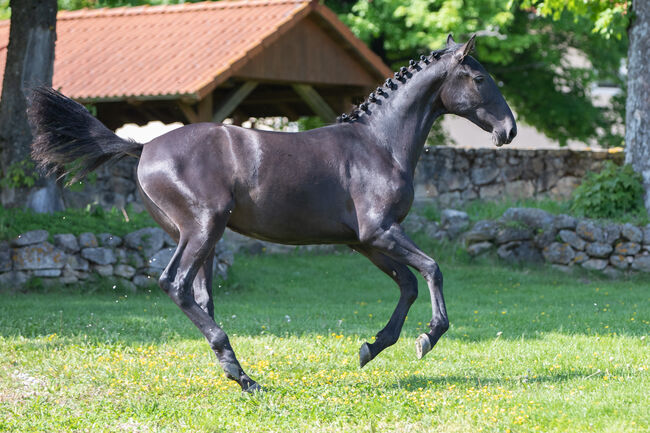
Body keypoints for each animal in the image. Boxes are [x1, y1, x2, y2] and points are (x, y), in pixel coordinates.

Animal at [27, 34, 516, 392]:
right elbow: (432, 269)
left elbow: (409, 284)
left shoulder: (364, 241)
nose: (508, 130)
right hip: (202, 228)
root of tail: (143, 146)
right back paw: (245, 378)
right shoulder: (380, 231)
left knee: (199, 296)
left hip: (205, 237)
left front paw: (372, 348)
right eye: (479, 78)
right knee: (175, 284)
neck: (379, 144)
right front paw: (427, 338)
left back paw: (238, 374)